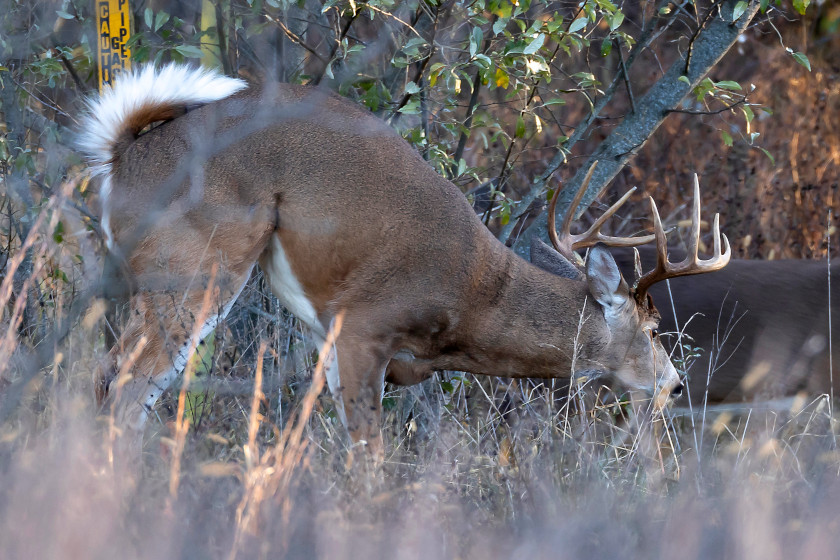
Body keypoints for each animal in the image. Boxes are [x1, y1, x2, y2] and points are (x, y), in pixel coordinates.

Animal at [79, 64, 728, 456]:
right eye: (652, 328)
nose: (675, 385)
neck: (473, 303)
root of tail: (123, 153)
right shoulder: (362, 324)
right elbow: (370, 453)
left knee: (111, 379)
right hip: (196, 266)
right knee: (125, 383)